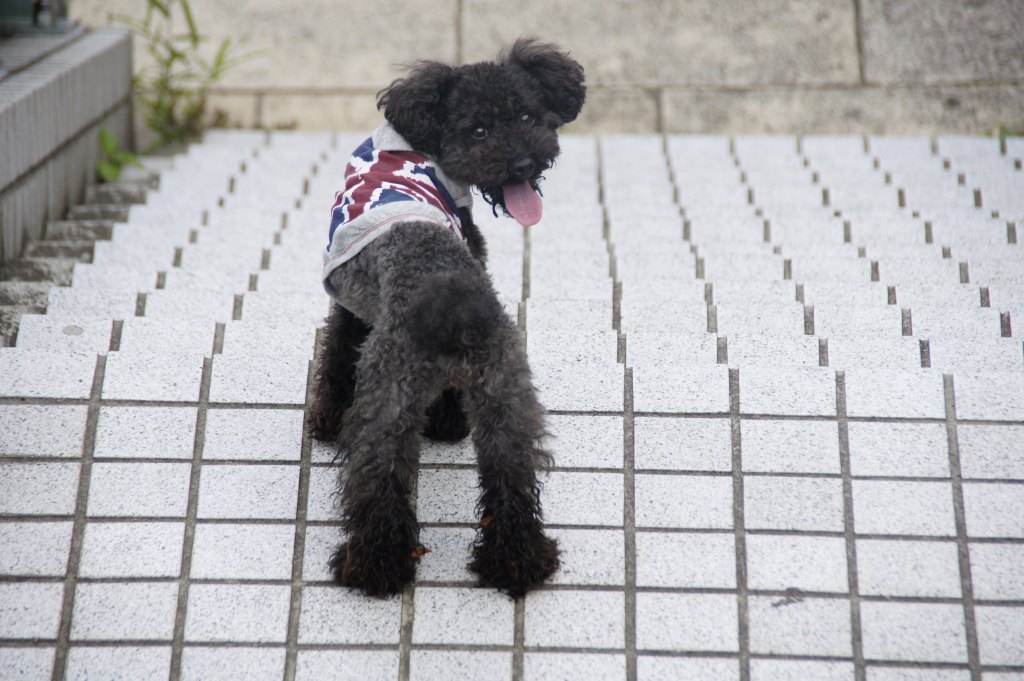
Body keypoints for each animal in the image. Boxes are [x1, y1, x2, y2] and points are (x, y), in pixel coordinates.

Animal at [308, 38, 586, 598]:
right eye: (477, 129)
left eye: (527, 115)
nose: (523, 161)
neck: (416, 144)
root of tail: (451, 304)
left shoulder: (347, 300)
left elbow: (337, 353)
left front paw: (324, 420)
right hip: (507, 397)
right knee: (511, 480)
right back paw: (518, 563)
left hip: (385, 398)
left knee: (376, 480)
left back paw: (373, 569)